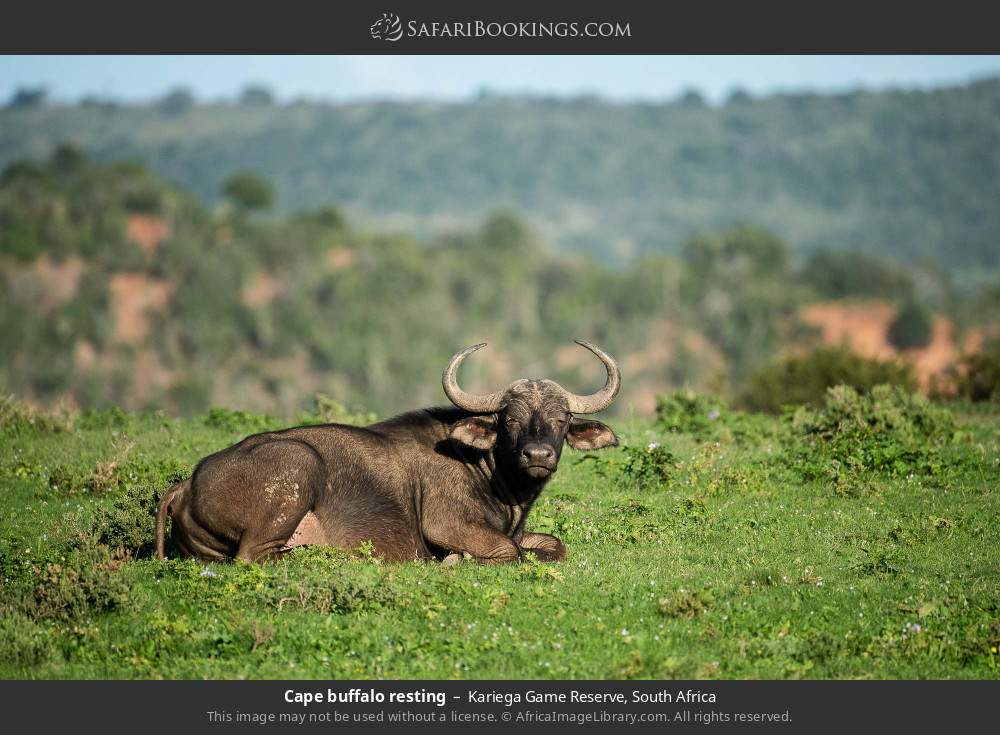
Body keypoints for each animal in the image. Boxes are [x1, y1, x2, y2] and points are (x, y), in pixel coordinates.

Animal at [156, 340, 620, 564]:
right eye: (509, 419)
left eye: (562, 420)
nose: (538, 455)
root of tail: (187, 483)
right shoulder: (447, 525)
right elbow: (511, 552)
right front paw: (453, 561)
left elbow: (554, 545)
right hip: (297, 466)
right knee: (253, 556)